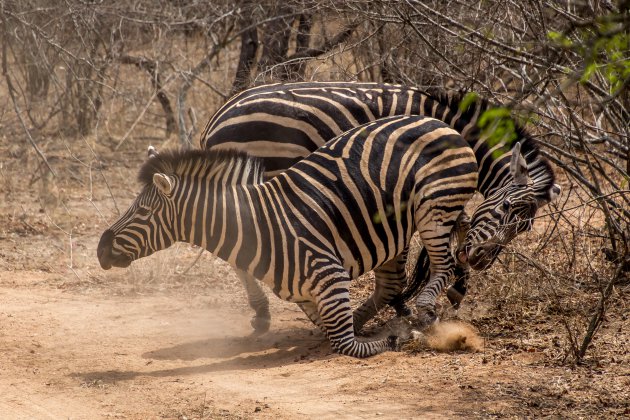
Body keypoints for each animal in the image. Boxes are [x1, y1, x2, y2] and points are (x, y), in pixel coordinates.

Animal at [97, 115, 478, 358]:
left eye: (143, 213)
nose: (100, 250)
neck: (260, 228)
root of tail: (437, 121)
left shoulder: (330, 276)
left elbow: (346, 345)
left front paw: (398, 336)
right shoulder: (307, 296)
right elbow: (331, 329)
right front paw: (373, 327)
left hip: (433, 207)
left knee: (443, 265)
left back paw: (425, 310)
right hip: (395, 229)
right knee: (392, 283)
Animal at [199, 80, 564, 328]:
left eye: (524, 229)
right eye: (505, 210)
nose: (479, 261)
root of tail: (217, 118)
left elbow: (459, 223)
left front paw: (450, 287)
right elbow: (454, 225)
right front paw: (434, 291)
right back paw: (261, 312)